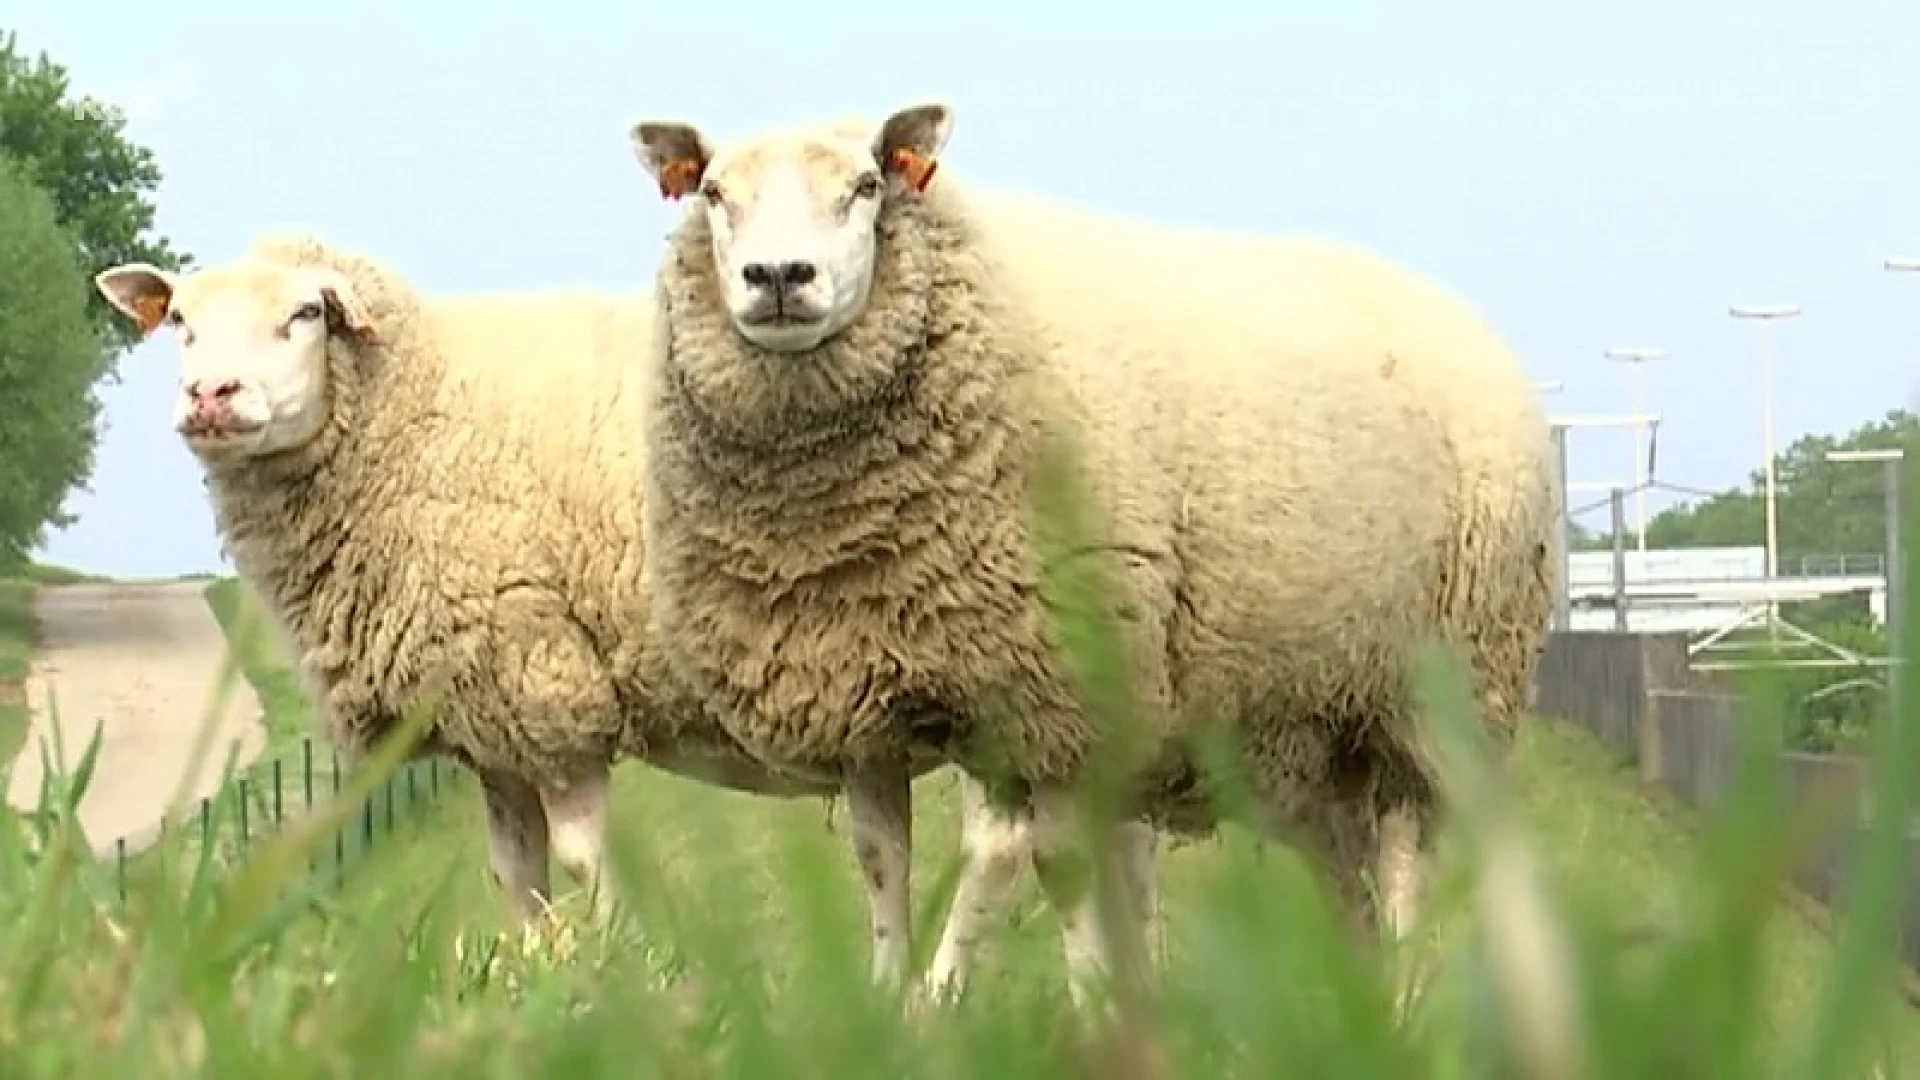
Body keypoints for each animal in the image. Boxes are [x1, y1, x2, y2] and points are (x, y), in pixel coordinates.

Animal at [91, 235, 1044, 976]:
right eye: (180, 323)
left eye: (305, 315)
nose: (210, 396)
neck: (414, 414)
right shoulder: (488, 728)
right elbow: (516, 877)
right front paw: (532, 984)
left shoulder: (543, 681)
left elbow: (582, 863)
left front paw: (620, 975)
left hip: (987, 644)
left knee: (994, 848)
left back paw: (941, 995)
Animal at [629, 100, 1559, 999]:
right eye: (712, 192)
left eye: (865, 186)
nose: (779, 278)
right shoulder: (863, 705)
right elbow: (881, 863)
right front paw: (885, 1003)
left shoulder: (1057, 697)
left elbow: (1047, 862)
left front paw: (1071, 1008)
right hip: (1320, 719)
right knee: (1349, 870)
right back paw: (1362, 999)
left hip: (1449, 685)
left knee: (1414, 860)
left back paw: (1412, 995)